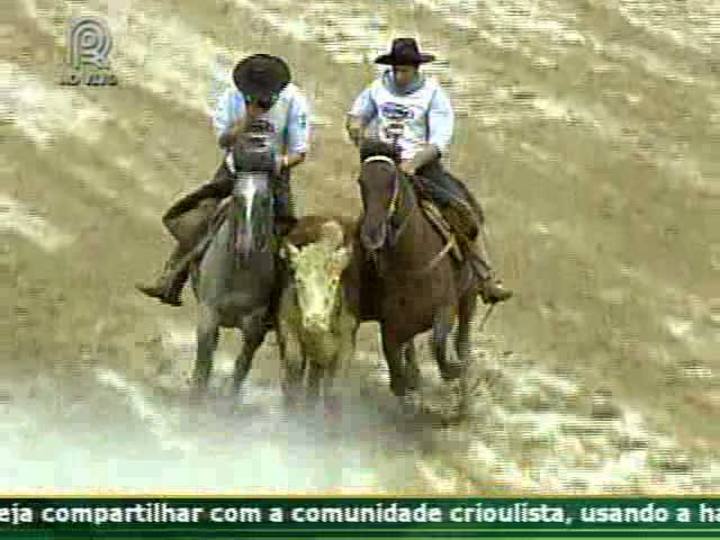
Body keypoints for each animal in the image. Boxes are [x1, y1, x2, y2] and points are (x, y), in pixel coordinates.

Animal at [352, 139, 478, 400]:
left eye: (392, 181)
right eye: (361, 181)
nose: (372, 235)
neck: (412, 264)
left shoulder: (446, 308)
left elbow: (437, 342)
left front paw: (452, 370)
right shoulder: (391, 326)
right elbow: (397, 375)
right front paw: (411, 386)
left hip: (469, 296)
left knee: (463, 343)